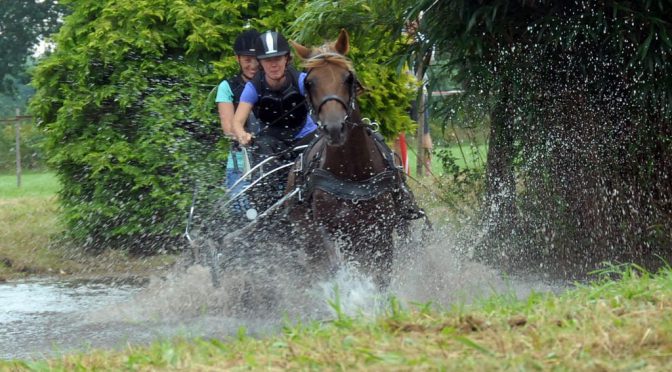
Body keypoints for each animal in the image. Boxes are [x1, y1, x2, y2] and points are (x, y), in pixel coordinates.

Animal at [284, 29, 426, 288]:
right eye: (309, 82)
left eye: (348, 78)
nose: (334, 128)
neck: (352, 171)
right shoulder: (328, 234)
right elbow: (337, 269)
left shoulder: (380, 233)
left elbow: (380, 277)